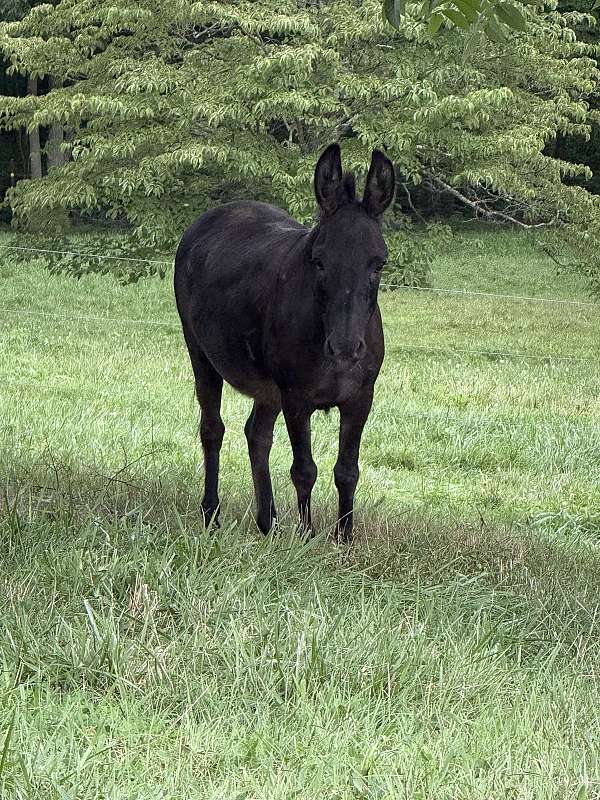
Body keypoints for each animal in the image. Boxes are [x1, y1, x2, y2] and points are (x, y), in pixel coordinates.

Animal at [174, 143, 395, 541]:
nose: (345, 349)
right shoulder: (296, 397)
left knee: (257, 434)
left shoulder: (360, 398)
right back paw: (212, 513)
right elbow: (304, 469)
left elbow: (347, 471)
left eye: (379, 264)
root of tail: (217, 212)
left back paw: (268, 521)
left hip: (267, 388)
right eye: (319, 261)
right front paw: (305, 538)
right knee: (212, 429)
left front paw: (344, 540)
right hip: (201, 353)